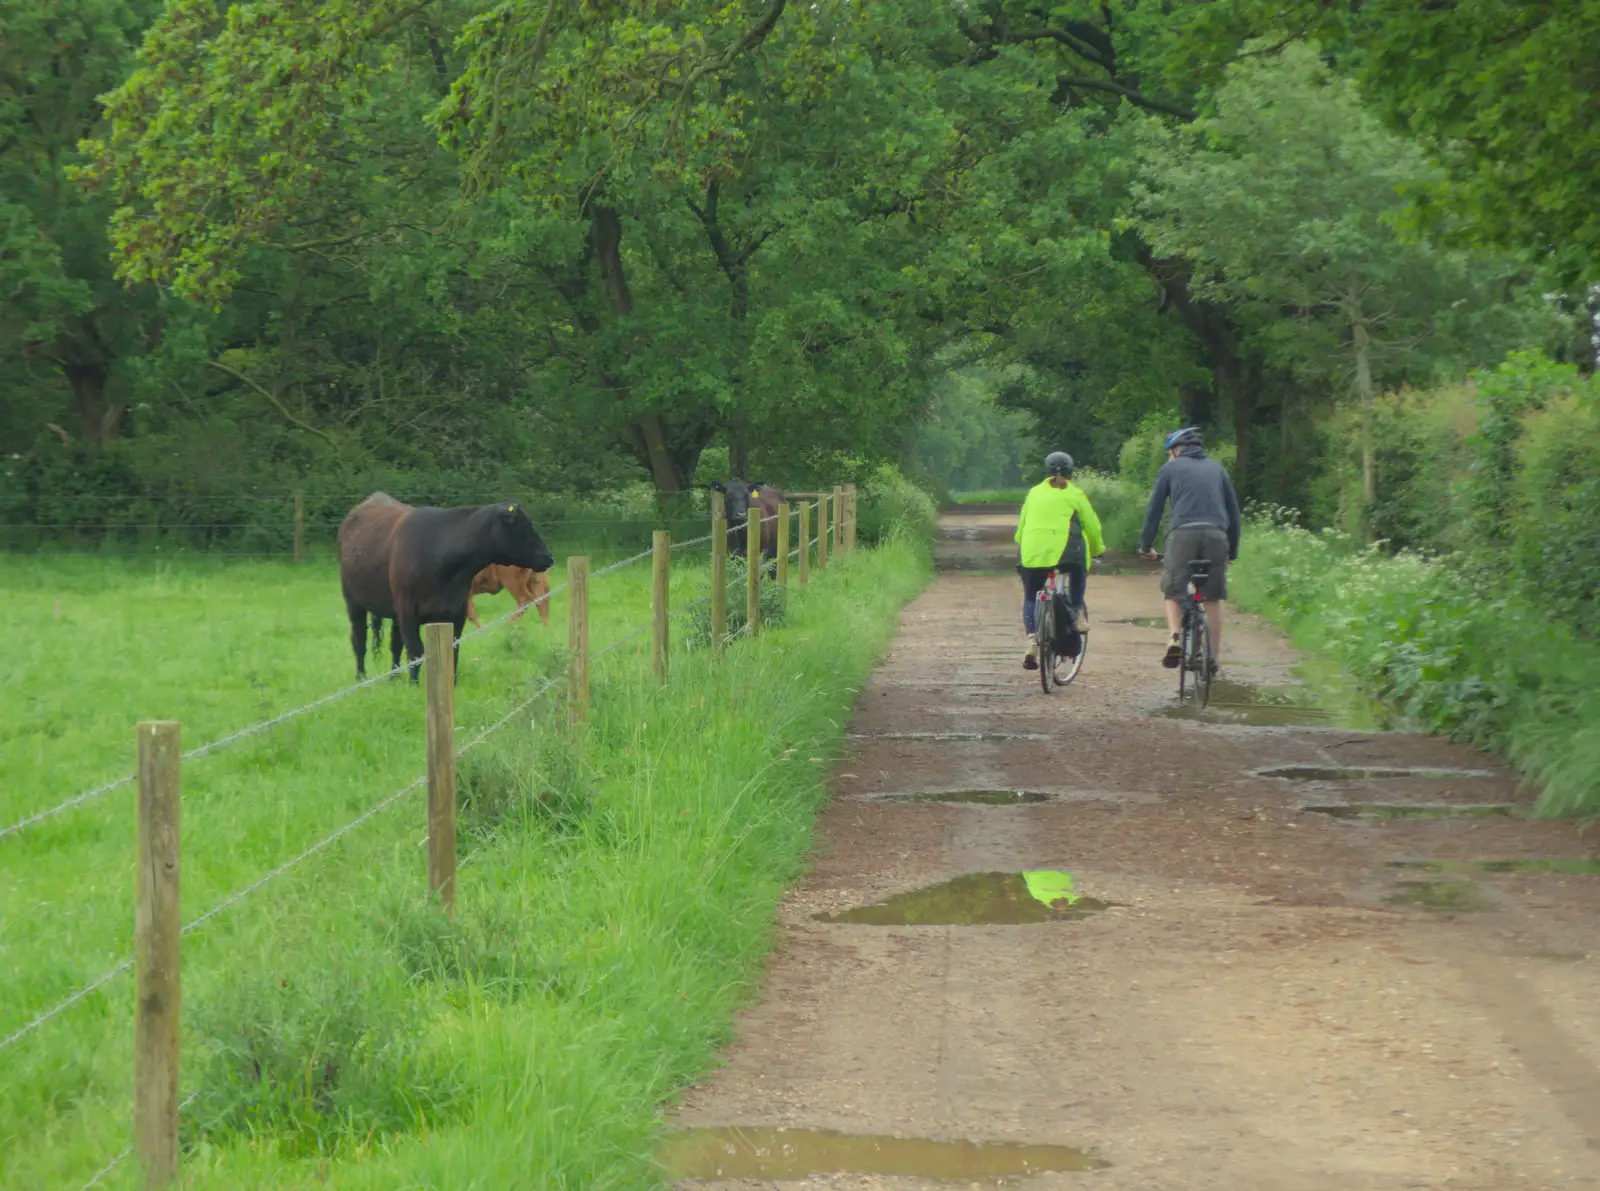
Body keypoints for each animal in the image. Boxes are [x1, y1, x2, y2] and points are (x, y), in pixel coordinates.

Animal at [334, 489, 553, 678]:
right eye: (524, 527)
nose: (548, 556)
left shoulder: (456, 610)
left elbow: (452, 650)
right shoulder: (407, 610)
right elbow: (416, 651)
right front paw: (414, 686)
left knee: (394, 643)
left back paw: (393, 678)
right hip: (353, 601)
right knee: (359, 639)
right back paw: (361, 677)